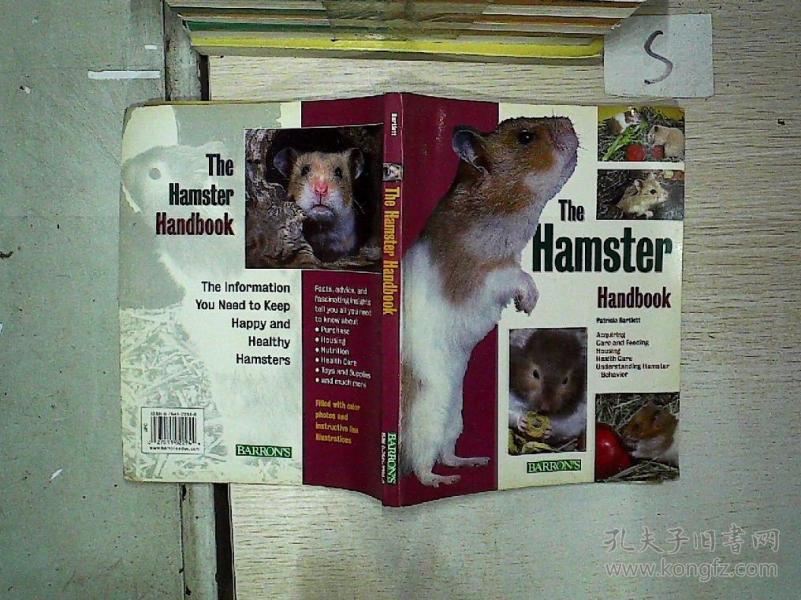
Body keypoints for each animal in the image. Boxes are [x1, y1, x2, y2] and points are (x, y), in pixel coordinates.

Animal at [401, 117, 579, 487]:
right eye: (525, 138)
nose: (571, 122)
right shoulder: (480, 277)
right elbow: (517, 277)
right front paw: (529, 305)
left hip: (455, 417)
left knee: (446, 453)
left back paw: (475, 461)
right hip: (427, 414)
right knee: (422, 464)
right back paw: (444, 481)